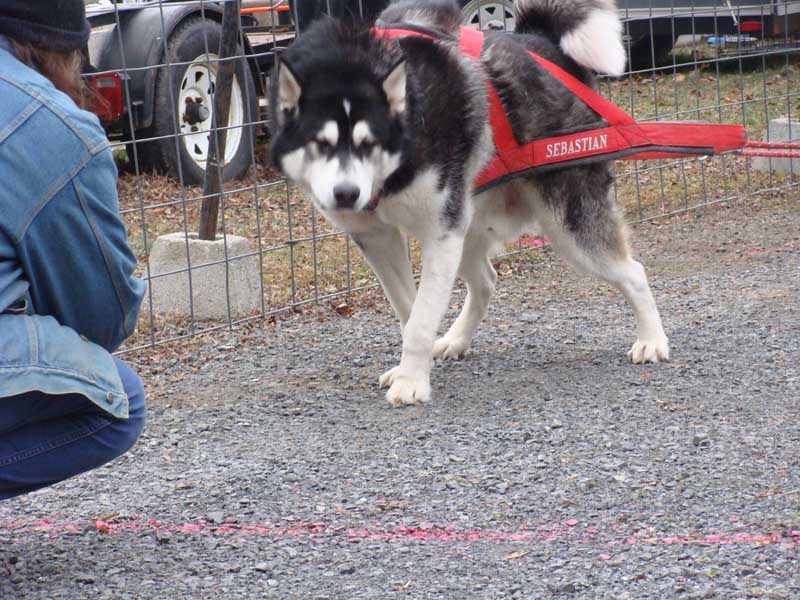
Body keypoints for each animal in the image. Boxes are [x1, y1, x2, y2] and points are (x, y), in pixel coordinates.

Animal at [268, 0, 668, 408]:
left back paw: (652, 340)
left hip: (568, 225)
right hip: (468, 223)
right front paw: (414, 367)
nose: (346, 195)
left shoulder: (440, 233)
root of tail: (544, 42)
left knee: (633, 272)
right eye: (321, 144)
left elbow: (422, 318)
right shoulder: (381, 238)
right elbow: (411, 312)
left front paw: (412, 382)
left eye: (369, 144)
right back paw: (456, 340)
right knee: (486, 280)